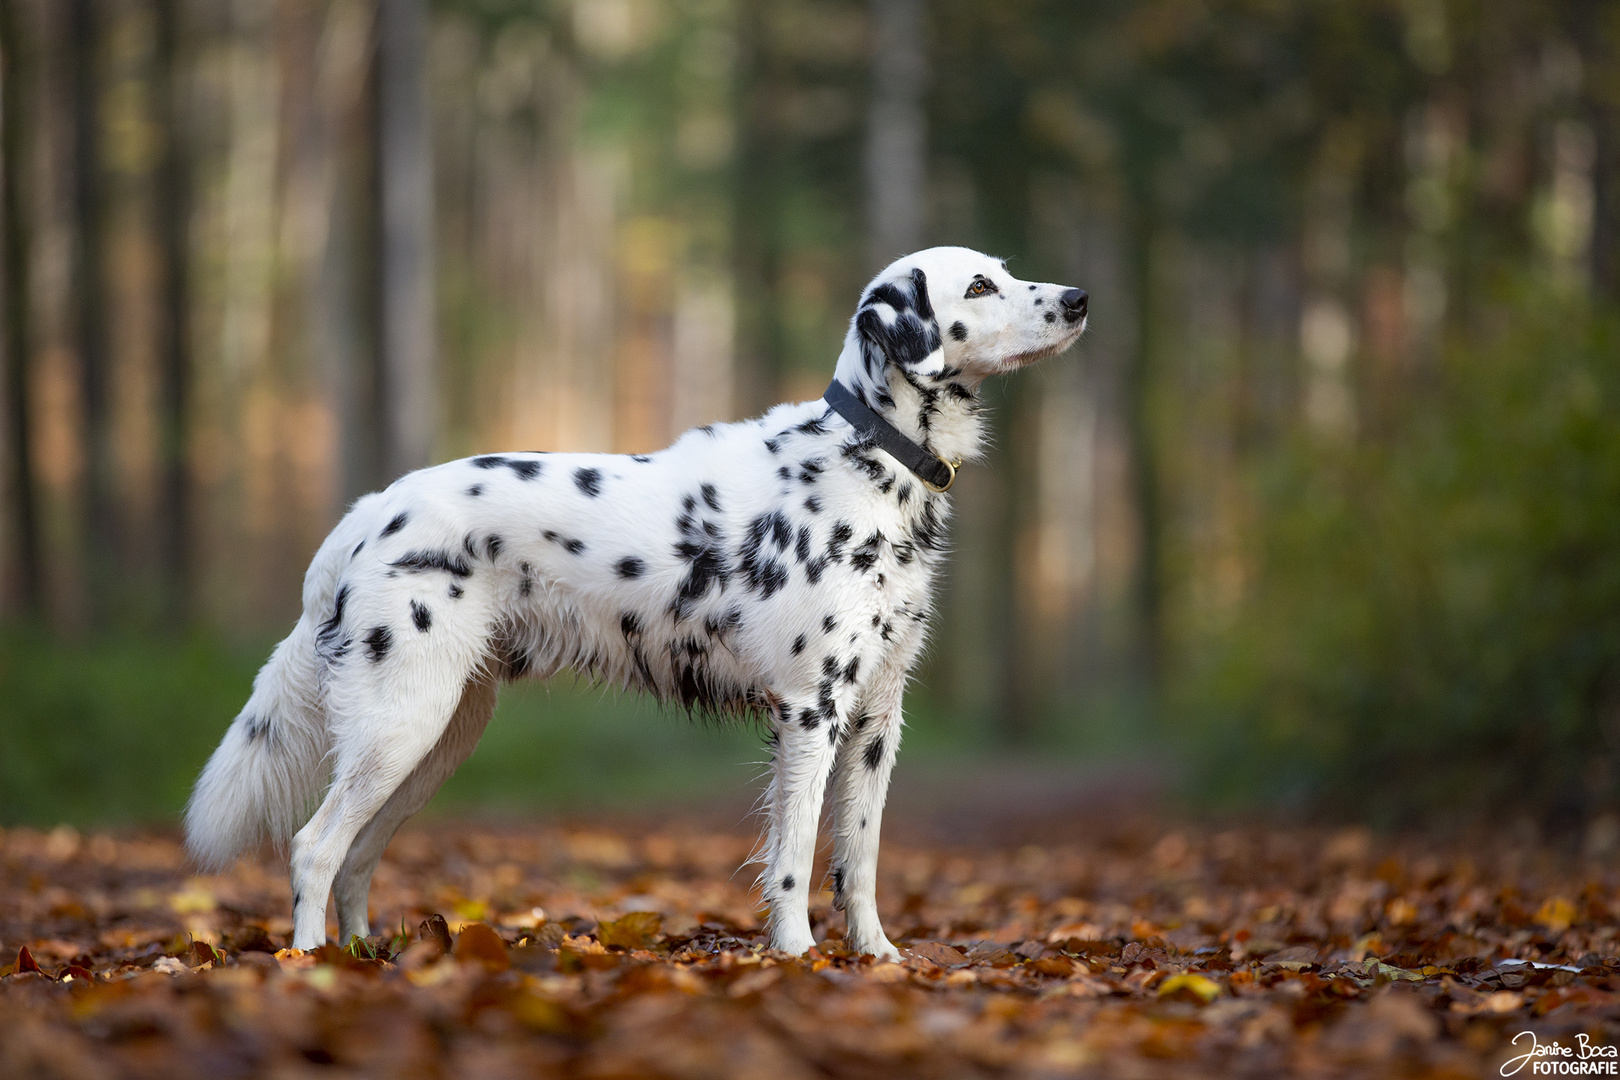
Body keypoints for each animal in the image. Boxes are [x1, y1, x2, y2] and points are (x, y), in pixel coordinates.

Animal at [186, 249, 1088, 958]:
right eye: (980, 285)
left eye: (1007, 270)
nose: (1079, 299)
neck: (868, 454)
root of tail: (366, 514)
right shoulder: (811, 709)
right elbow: (795, 856)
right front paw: (798, 957)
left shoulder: (876, 717)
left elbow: (858, 860)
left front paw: (877, 957)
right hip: (400, 724)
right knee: (314, 846)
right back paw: (315, 966)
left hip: (435, 736)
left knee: (358, 854)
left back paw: (365, 953)